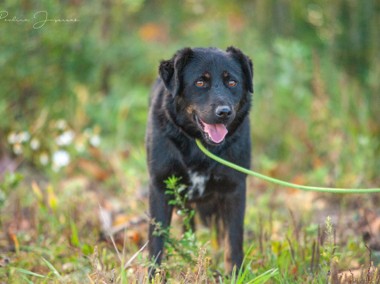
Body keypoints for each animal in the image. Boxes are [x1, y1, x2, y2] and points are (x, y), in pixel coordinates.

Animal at [145, 46, 252, 278]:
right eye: (200, 82)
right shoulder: (160, 186)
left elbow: (233, 242)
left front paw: (235, 276)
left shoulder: (234, 188)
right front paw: (153, 277)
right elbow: (156, 244)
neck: (198, 145)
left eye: (232, 82)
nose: (224, 112)